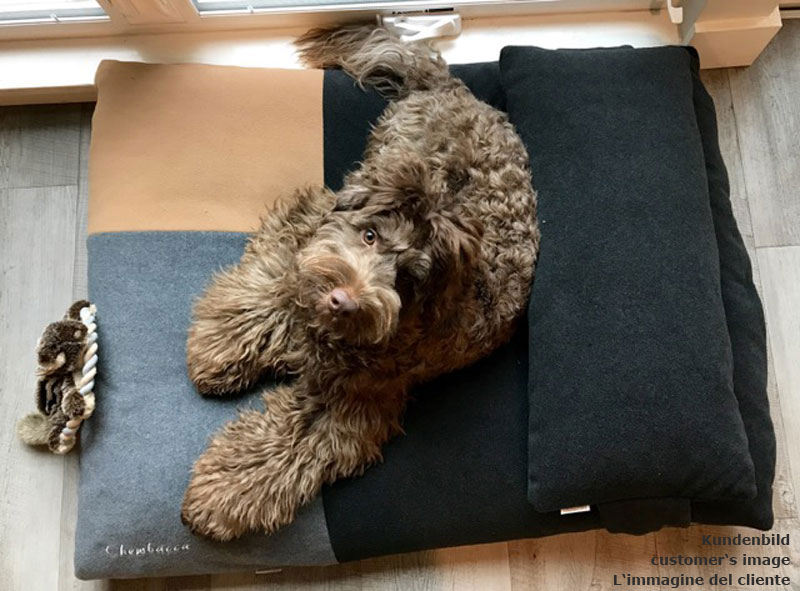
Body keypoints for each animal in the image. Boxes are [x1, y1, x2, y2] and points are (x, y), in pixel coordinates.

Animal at [181, 24, 540, 540]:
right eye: (370, 237)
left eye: (406, 280)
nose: (342, 301)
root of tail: (459, 91)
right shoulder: (311, 233)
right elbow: (277, 286)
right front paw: (221, 346)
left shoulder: (350, 408)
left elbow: (286, 449)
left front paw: (216, 497)